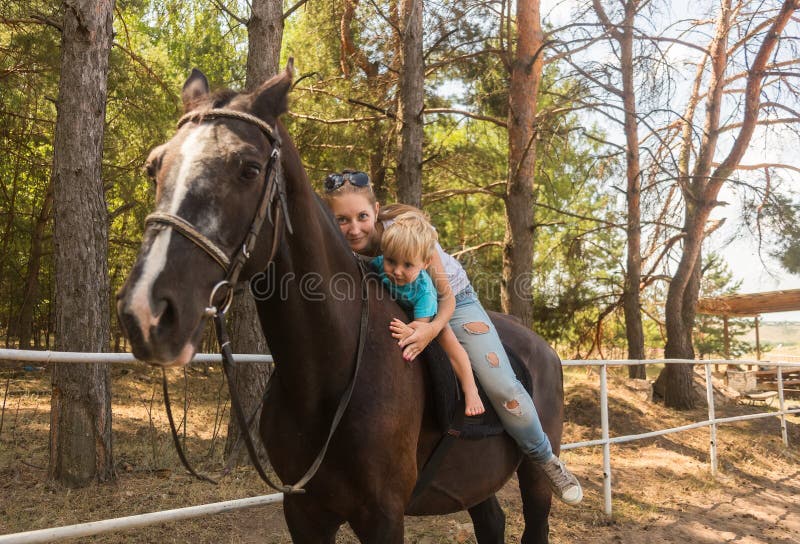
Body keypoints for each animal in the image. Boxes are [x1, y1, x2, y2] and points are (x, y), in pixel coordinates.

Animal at [119, 61, 564, 540]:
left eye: (249, 169)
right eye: (154, 167)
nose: (146, 311)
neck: (328, 377)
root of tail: (544, 349)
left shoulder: (383, 516)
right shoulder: (303, 512)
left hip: (536, 476)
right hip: (473, 483)